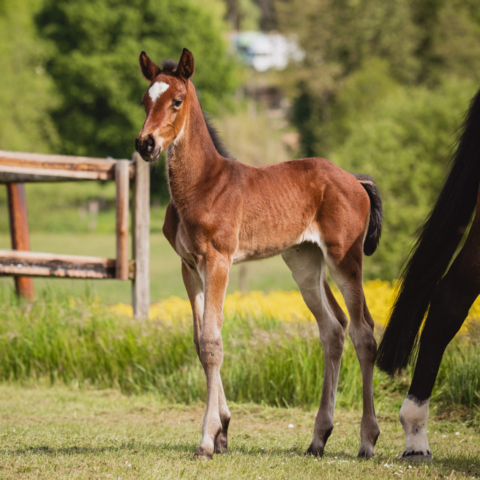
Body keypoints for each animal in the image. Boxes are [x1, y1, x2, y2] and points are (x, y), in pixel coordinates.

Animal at [135, 48, 382, 462]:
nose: (146, 144)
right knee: (333, 329)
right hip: (304, 262)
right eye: (144, 100)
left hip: (344, 259)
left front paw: (207, 441)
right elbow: (200, 341)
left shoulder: (218, 261)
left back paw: (367, 440)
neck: (202, 184)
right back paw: (319, 438)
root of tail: (355, 179)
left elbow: (212, 342)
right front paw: (222, 431)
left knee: (363, 333)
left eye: (177, 101)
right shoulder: (190, 267)